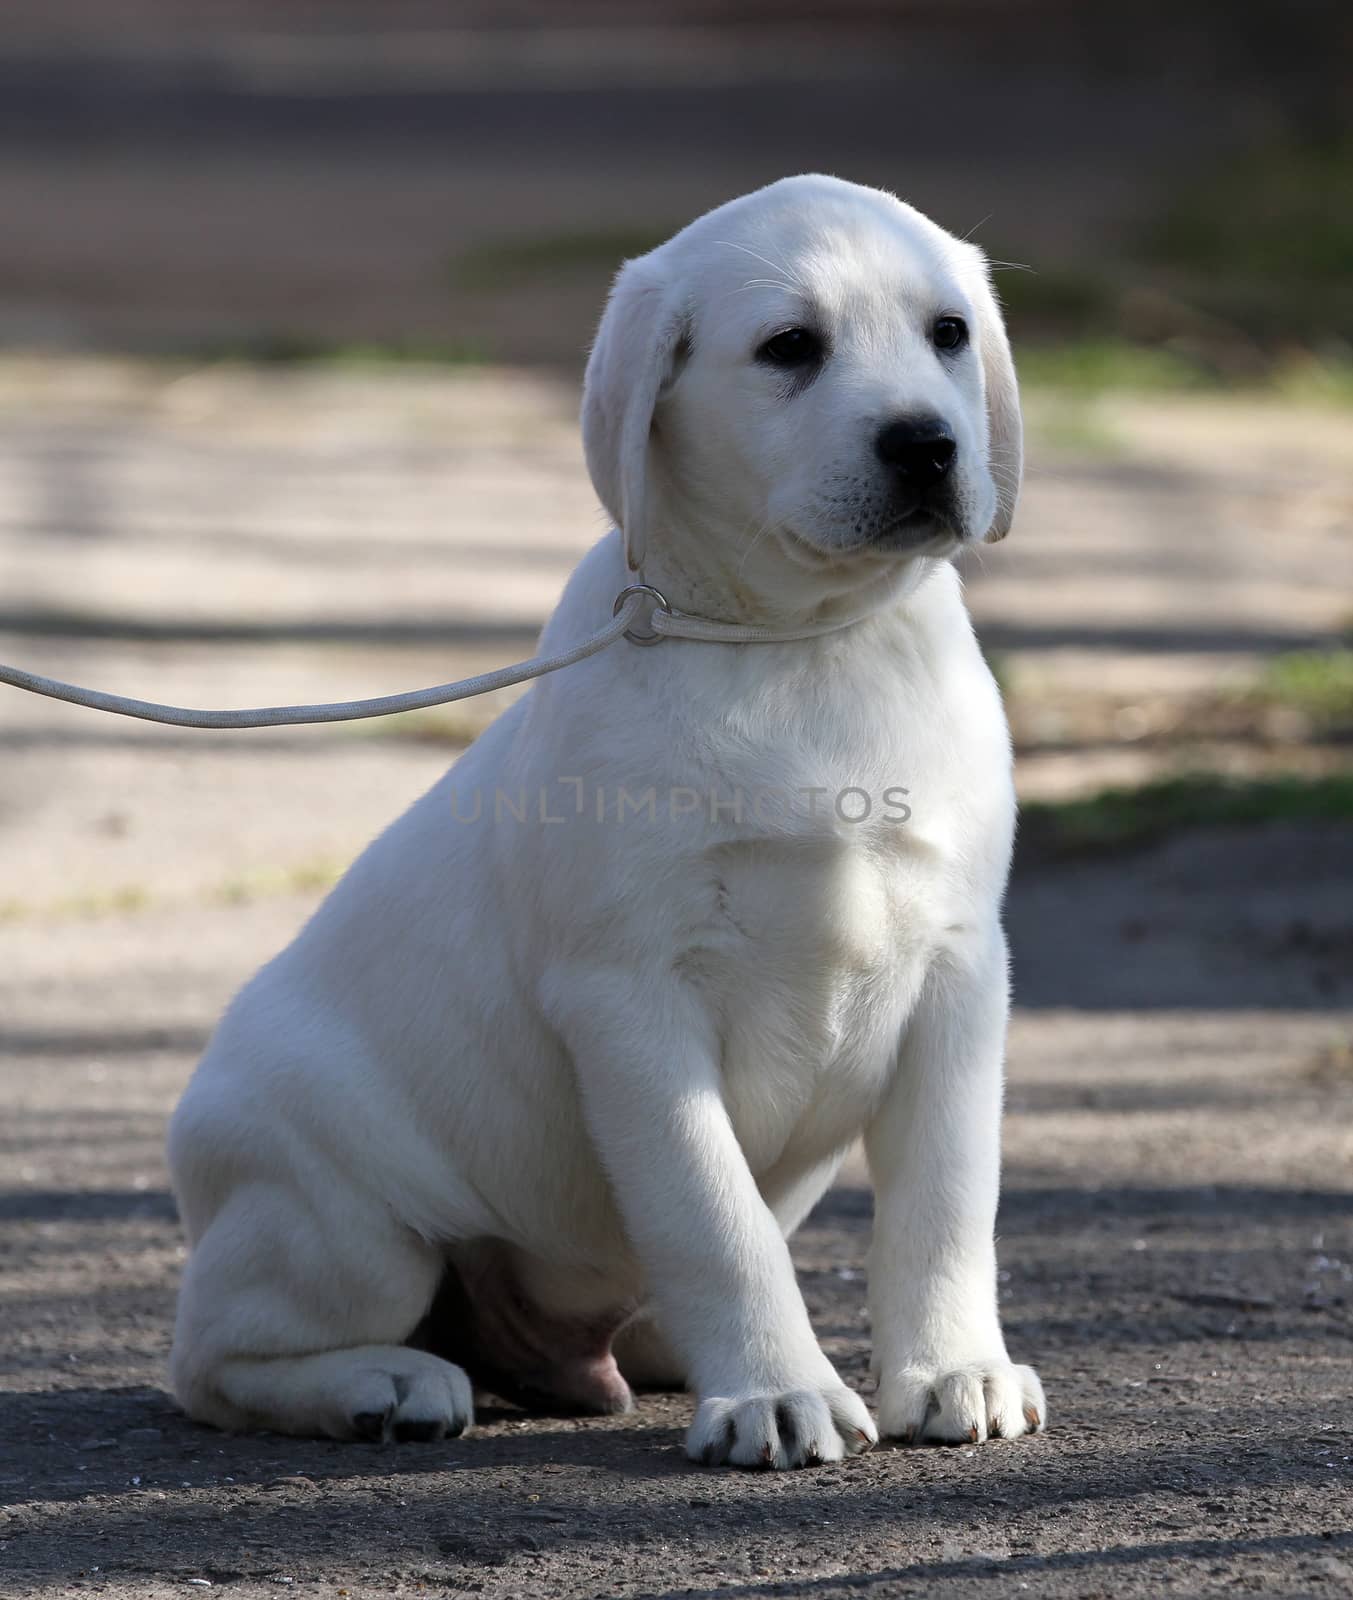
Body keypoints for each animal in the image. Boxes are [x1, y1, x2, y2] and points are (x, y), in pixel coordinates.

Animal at [169, 172, 1049, 1465]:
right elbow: (711, 1212)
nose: (928, 443)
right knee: (211, 1359)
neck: (797, 646)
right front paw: (776, 1392)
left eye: (948, 332)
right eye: (790, 348)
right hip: (340, 1221)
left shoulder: (959, 970)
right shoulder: (630, 996)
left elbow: (943, 1202)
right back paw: (385, 1381)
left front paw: (951, 1369)